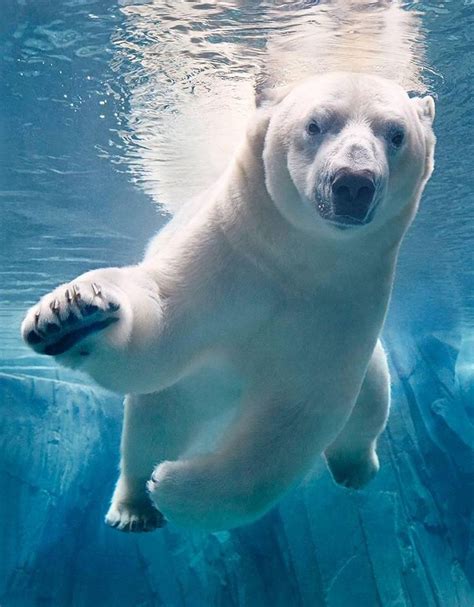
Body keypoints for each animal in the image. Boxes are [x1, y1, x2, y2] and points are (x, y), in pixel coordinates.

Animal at [22, 72, 436, 532]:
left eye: (396, 134)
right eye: (315, 124)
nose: (353, 183)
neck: (296, 259)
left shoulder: (344, 301)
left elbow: (294, 418)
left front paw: (174, 486)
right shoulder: (228, 250)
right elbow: (159, 331)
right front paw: (71, 316)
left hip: (372, 362)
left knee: (371, 403)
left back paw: (355, 468)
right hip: (184, 397)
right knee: (151, 427)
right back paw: (133, 508)